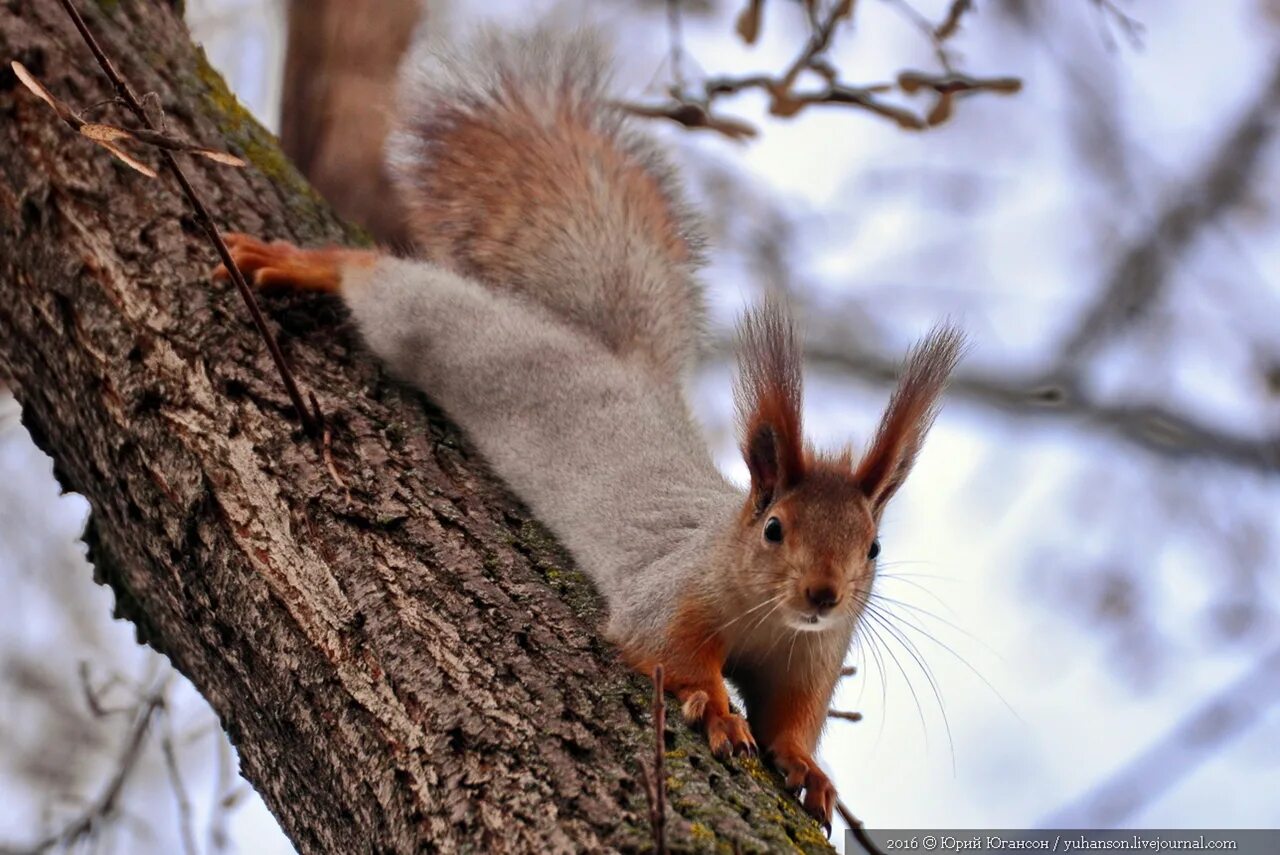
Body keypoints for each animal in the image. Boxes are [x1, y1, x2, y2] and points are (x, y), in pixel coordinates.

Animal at [217, 25, 962, 829]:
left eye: (873, 546)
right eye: (774, 528)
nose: (824, 595)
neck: (769, 615)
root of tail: (614, 355)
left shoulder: (812, 660)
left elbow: (793, 721)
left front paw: (807, 768)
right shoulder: (669, 594)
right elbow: (666, 648)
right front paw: (716, 708)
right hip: (454, 333)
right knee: (382, 283)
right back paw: (302, 262)